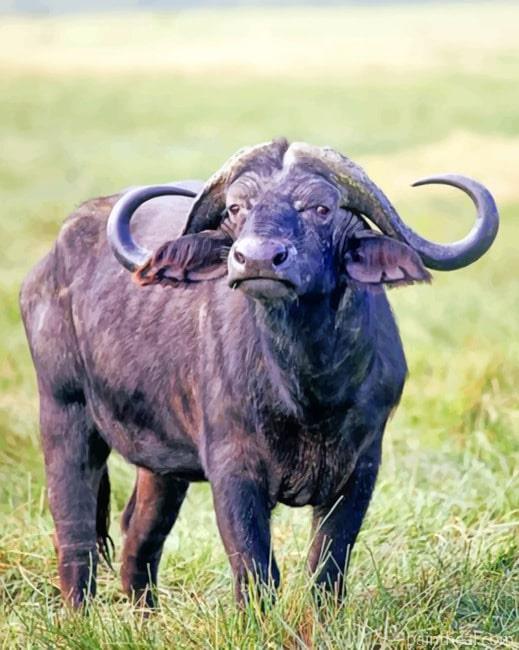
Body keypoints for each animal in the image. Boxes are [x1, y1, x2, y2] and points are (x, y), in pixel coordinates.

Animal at [20, 139, 498, 607]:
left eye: (321, 207)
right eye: (236, 207)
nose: (256, 259)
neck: (308, 392)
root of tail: (47, 267)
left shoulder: (362, 466)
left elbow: (329, 564)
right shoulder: (233, 467)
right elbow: (255, 568)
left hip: (161, 464)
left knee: (140, 531)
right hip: (63, 409)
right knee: (74, 525)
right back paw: (80, 614)